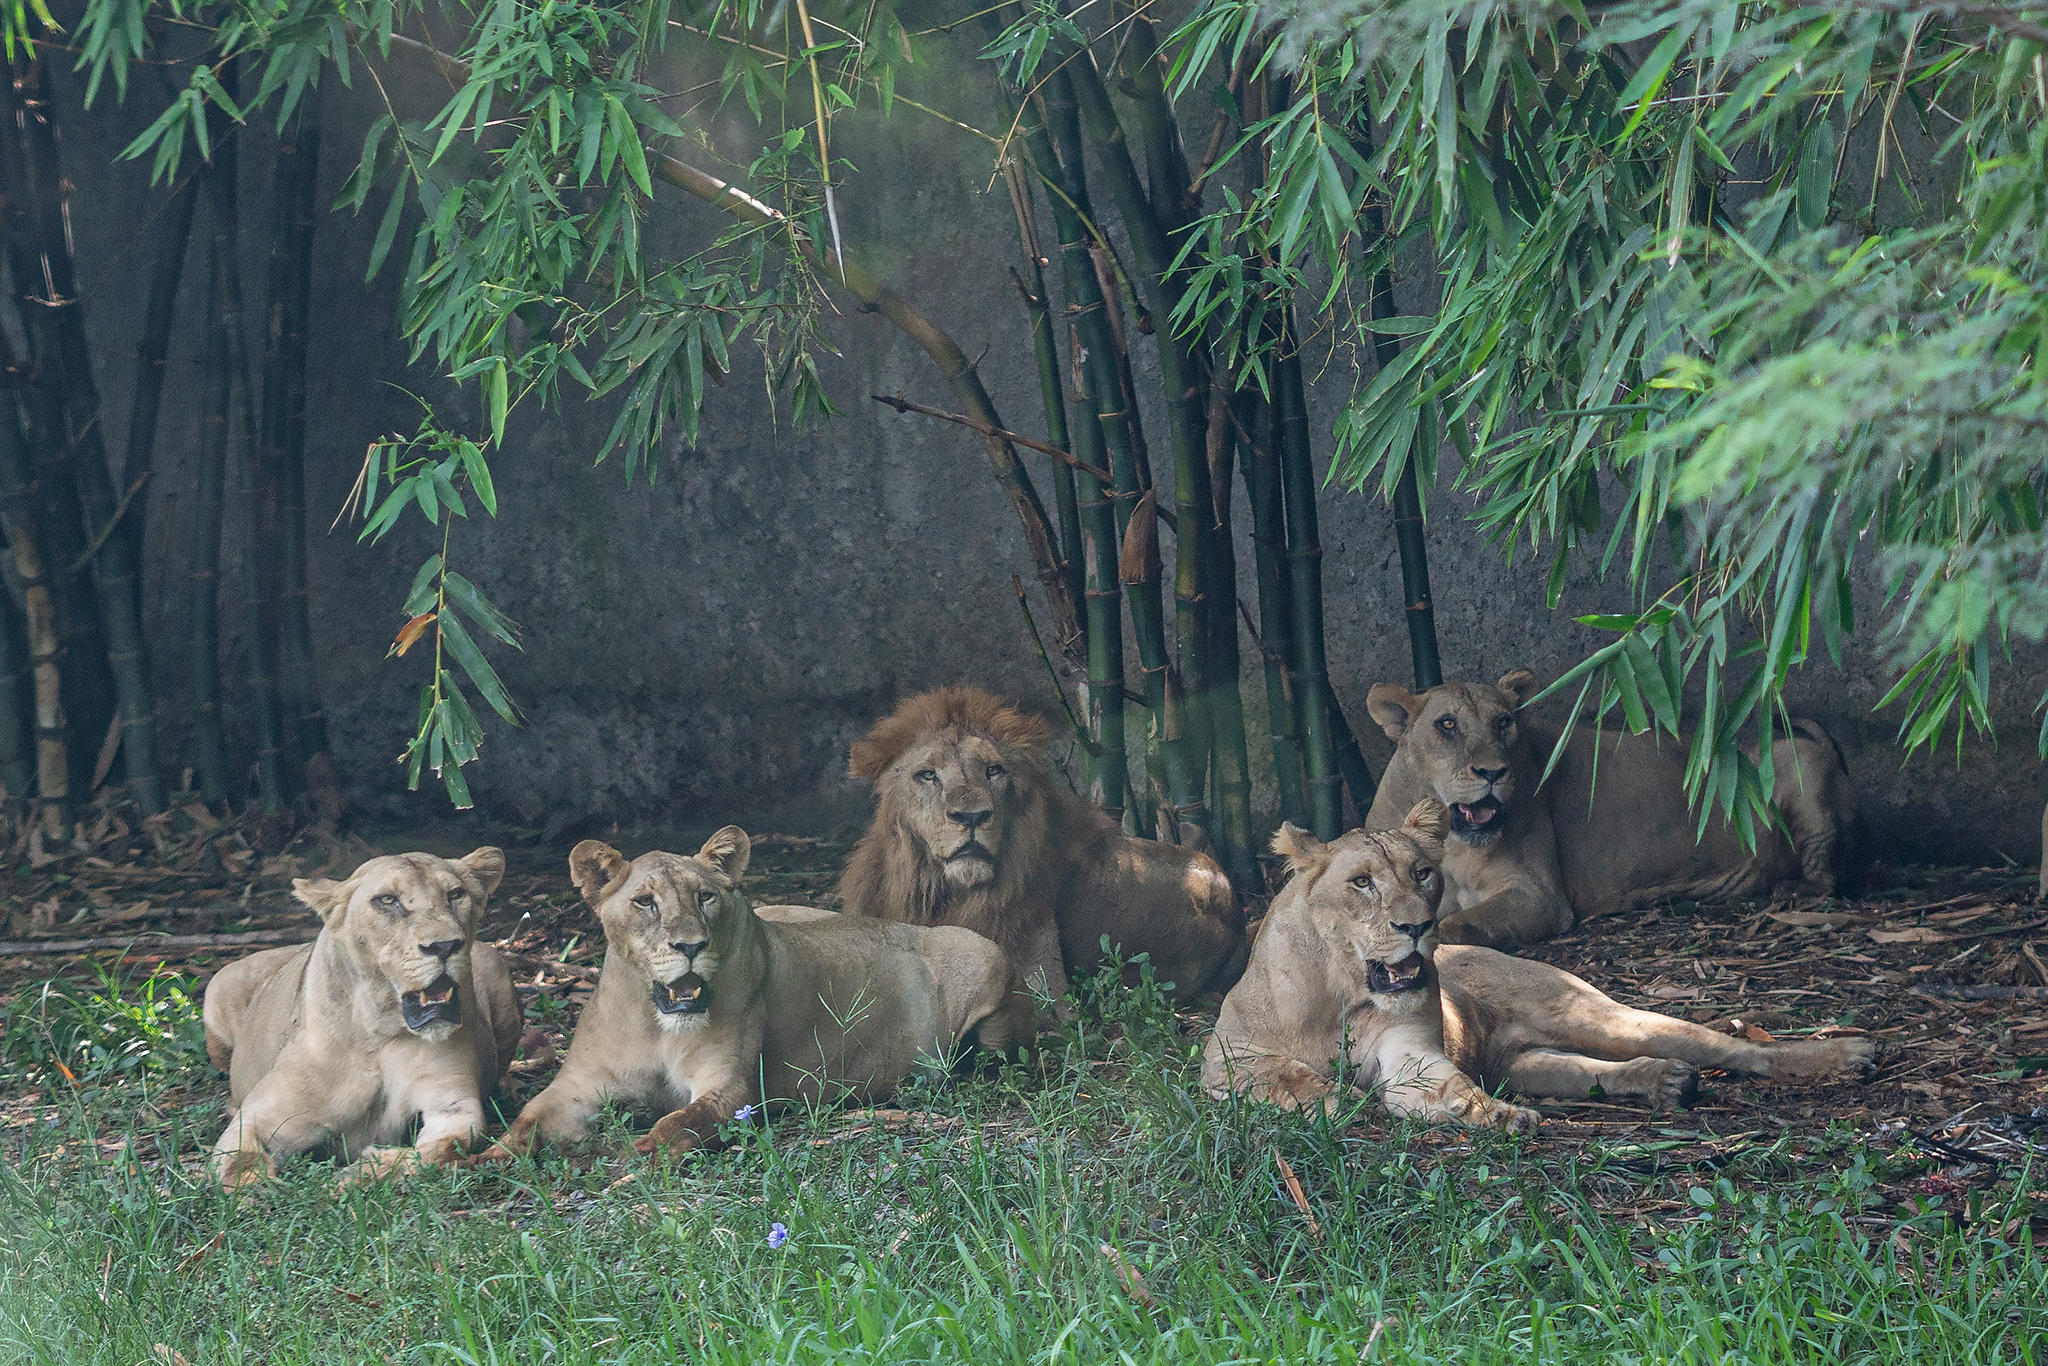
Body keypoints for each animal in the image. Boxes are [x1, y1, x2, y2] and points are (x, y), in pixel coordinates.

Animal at [1359, 663, 1859, 946]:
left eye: (1503, 723)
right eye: (1447, 724)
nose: (1493, 772)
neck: (1454, 842)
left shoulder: (1540, 895)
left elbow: (1461, 925)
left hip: (1795, 757)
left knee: (1827, 871)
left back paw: (1794, 890)